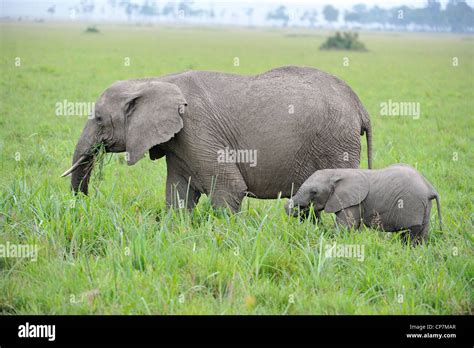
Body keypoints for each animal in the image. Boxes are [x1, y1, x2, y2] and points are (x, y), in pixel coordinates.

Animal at [63, 66, 374, 211]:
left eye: (99, 119)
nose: (85, 203)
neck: (153, 80)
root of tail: (360, 105)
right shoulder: (180, 142)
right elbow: (178, 194)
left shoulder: (198, 130)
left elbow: (229, 189)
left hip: (336, 144)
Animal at [286, 164, 444, 243]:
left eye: (313, 192)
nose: (299, 209)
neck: (336, 173)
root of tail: (430, 188)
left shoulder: (353, 201)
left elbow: (344, 227)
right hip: (424, 206)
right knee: (422, 233)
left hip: (411, 205)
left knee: (409, 233)